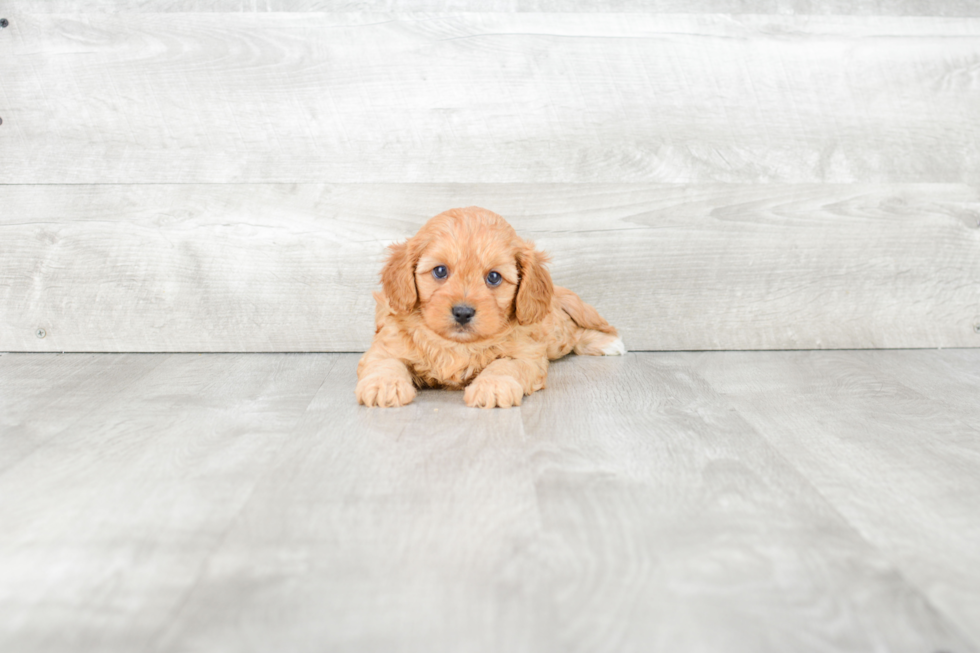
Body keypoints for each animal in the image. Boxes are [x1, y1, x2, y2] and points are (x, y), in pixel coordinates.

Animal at [356, 206, 624, 408]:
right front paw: (384, 385)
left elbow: (504, 365)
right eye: (440, 271)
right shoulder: (386, 345)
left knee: (572, 334)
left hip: (553, 335)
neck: (457, 344)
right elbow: (385, 363)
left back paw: (606, 343)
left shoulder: (526, 353)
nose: (463, 312)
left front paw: (493, 386)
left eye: (493, 277)